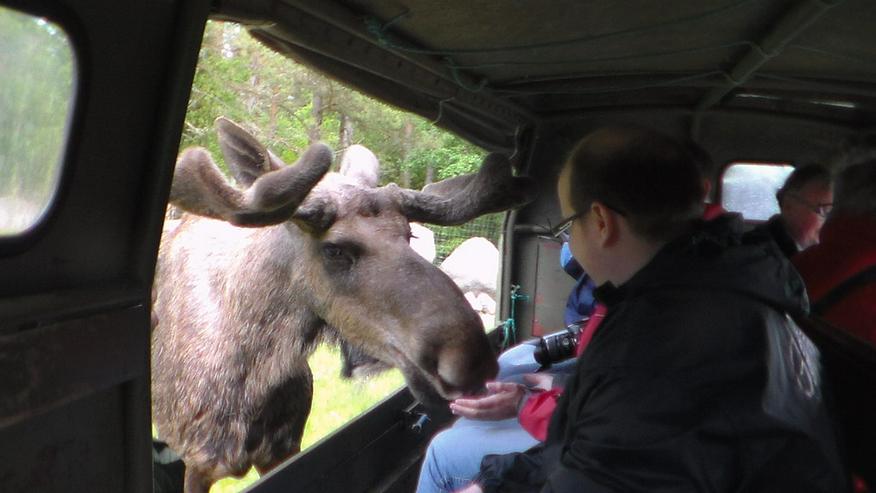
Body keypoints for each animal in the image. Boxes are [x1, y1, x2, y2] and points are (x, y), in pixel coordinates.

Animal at [151, 117, 532, 490]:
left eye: (409, 234)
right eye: (334, 249)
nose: (470, 358)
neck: (253, 377)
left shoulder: (285, 447)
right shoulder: (197, 460)